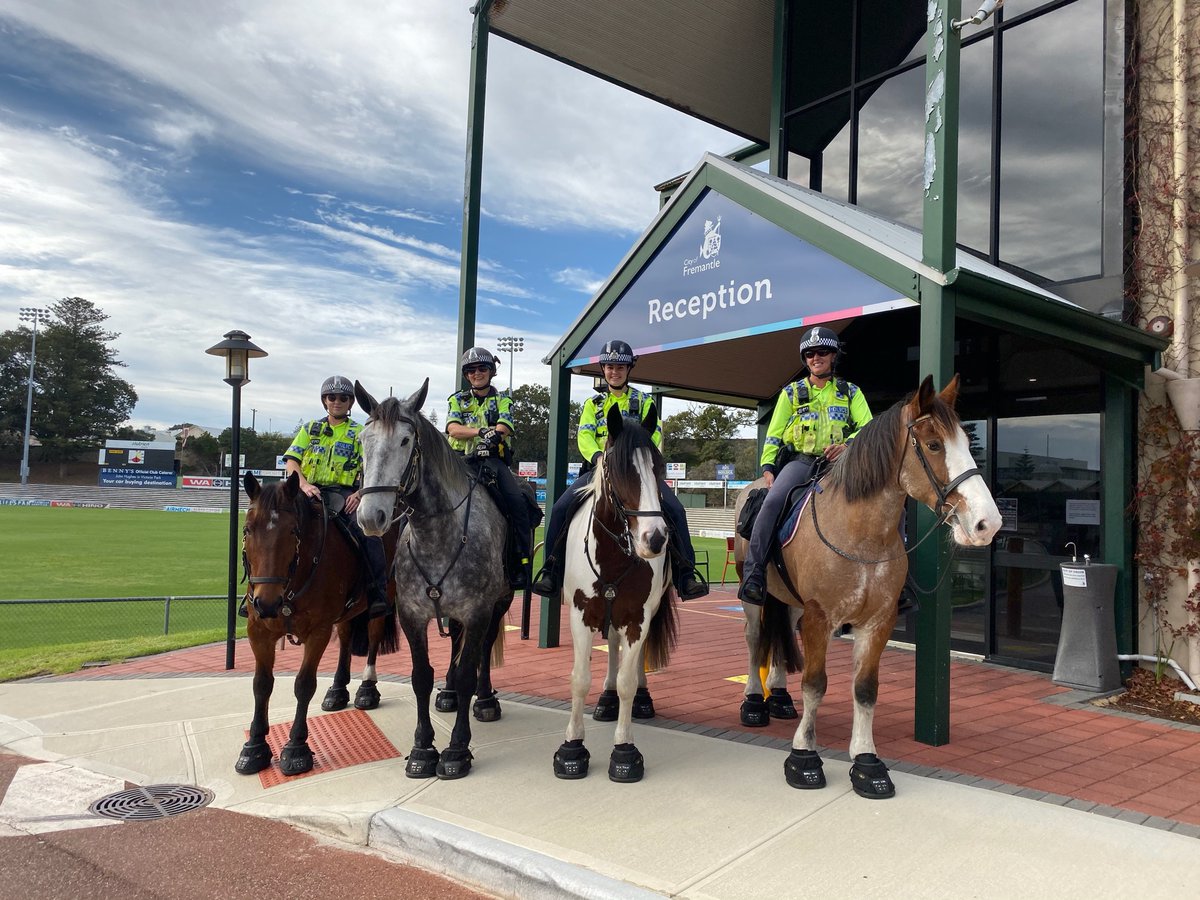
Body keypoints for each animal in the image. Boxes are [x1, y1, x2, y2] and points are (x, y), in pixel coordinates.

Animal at [234, 472, 403, 777]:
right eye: (248, 530)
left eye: (292, 531)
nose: (267, 603)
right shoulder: (258, 631)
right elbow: (261, 684)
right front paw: (254, 747)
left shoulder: (318, 631)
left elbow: (304, 684)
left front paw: (296, 748)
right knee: (346, 636)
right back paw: (337, 690)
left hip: (386, 592)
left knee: (373, 635)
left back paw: (367, 690)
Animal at [350, 381, 513, 782]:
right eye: (363, 439)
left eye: (406, 440)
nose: (371, 517)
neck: (438, 534)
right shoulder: (411, 614)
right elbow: (421, 677)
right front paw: (422, 748)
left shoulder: (478, 610)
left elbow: (470, 669)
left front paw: (456, 749)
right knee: (455, 643)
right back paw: (449, 693)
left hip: (499, 602)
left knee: (484, 648)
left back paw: (485, 699)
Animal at [549, 405, 676, 787]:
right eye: (619, 470)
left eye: (659, 466)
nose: (655, 538)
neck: (615, 554)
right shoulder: (580, 614)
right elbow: (579, 680)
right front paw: (572, 748)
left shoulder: (637, 617)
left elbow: (628, 682)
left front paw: (624, 749)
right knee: (613, 650)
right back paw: (604, 699)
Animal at [729, 376, 1003, 801]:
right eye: (934, 445)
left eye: (966, 444)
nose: (987, 523)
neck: (860, 534)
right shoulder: (819, 617)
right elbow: (815, 684)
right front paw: (804, 757)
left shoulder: (877, 621)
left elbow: (865, 689)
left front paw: (866, 762)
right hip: (754, 596)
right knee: (757, 638)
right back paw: (755, 702)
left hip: (790, 601)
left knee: (779, 636)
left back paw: (780, 697)